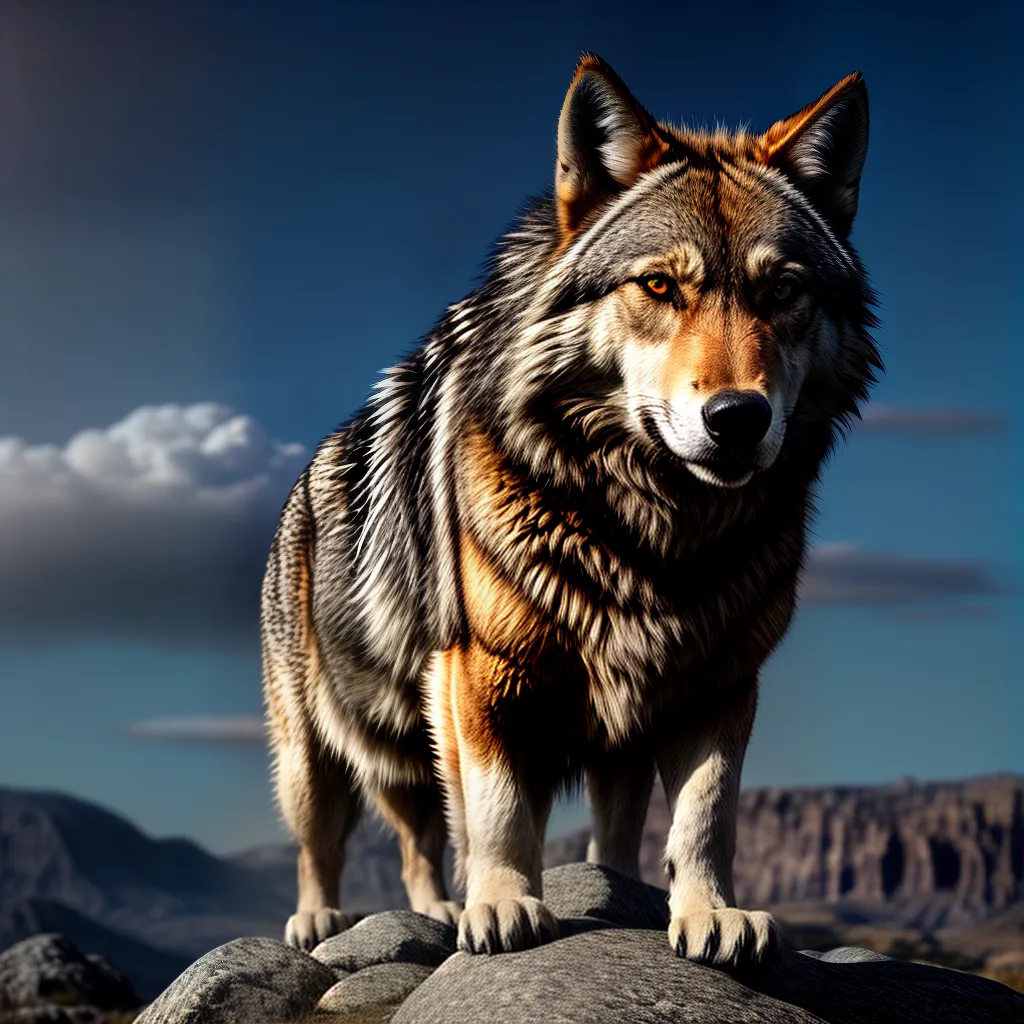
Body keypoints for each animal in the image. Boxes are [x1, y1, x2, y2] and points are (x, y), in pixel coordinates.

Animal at [261, 53, 879, 966]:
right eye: (658, 285)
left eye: (782, 292)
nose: (738, 418)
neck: (655, 531)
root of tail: (306, 476)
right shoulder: (483, 675)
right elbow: (497, 812)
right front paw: (502, 906)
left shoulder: (720, 686)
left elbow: (704, 819)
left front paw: (709, 914)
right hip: (320, 749)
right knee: (328, 842)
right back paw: (323, 922)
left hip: (581, 734)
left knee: (437, 840)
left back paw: (461, 908)